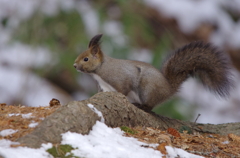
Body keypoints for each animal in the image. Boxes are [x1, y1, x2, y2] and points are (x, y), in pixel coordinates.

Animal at [73, 34, 232, 111]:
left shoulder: (120, 78)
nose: (74, 65)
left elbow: (124, 89)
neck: (100, 70)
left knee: (150, 106)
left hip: (147, 89)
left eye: (86, 59)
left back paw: (142, 106)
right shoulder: (104, 86)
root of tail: (168, 88)